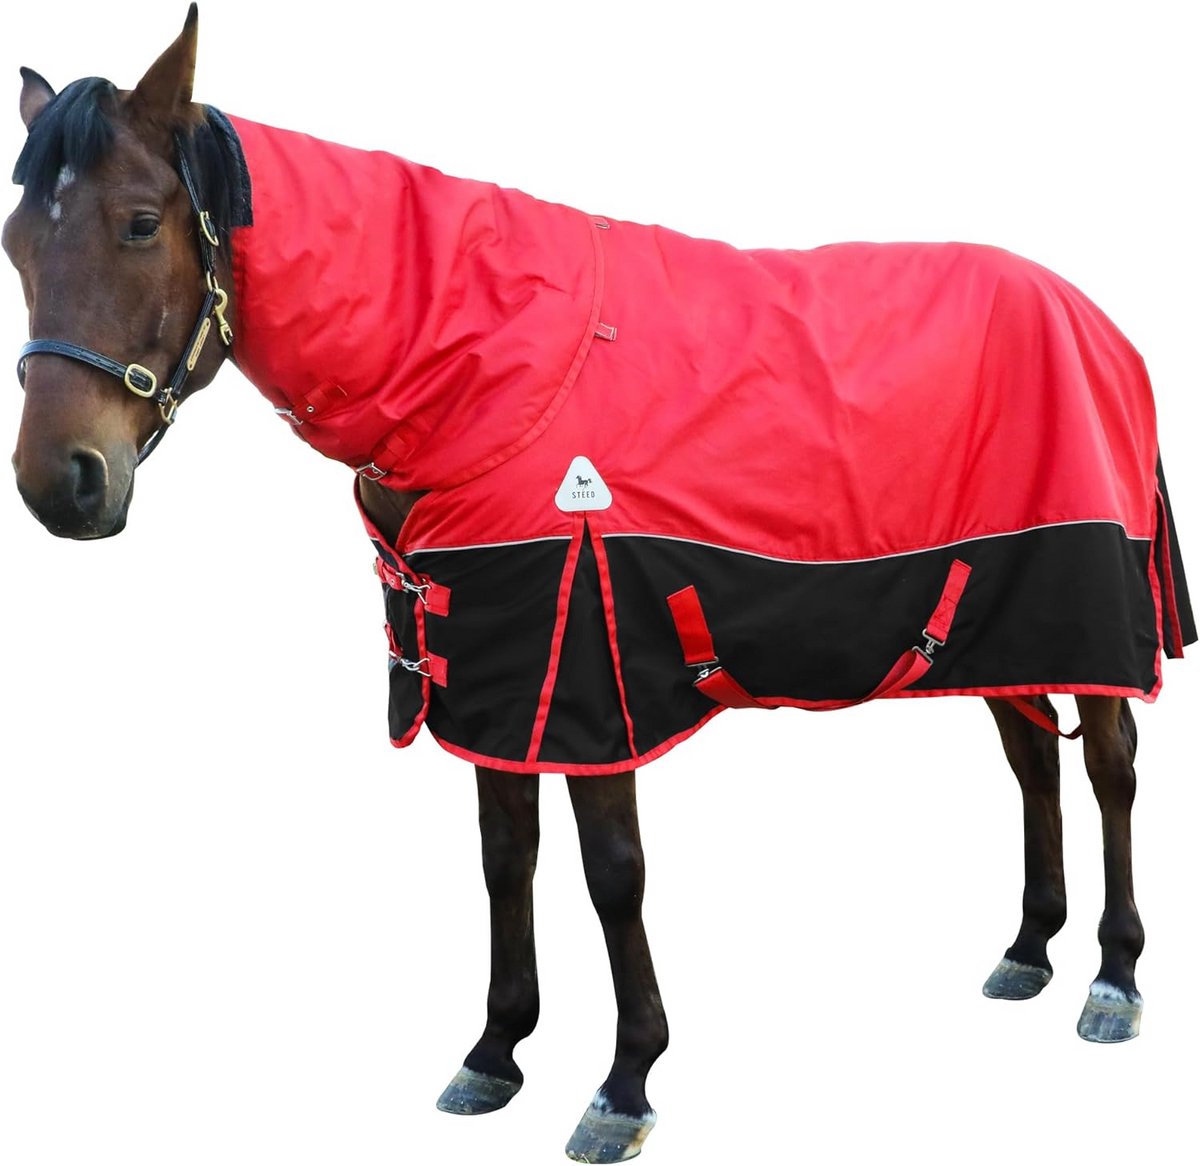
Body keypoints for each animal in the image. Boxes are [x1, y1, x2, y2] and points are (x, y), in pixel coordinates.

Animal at [5, 7, 1194, 1163]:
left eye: (141, 223)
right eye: (17, 244)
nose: (60, 483)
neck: (492, 364)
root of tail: (1102, 322)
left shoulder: (588, 668)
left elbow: (613, 873)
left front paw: (624, 1083)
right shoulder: (490, 668)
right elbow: (506, 859)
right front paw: (494, 1052)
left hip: (1086, 607)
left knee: (1110, 770)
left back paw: (1113, 977)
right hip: (996, 618)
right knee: (1032, 759)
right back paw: (1029, 949)